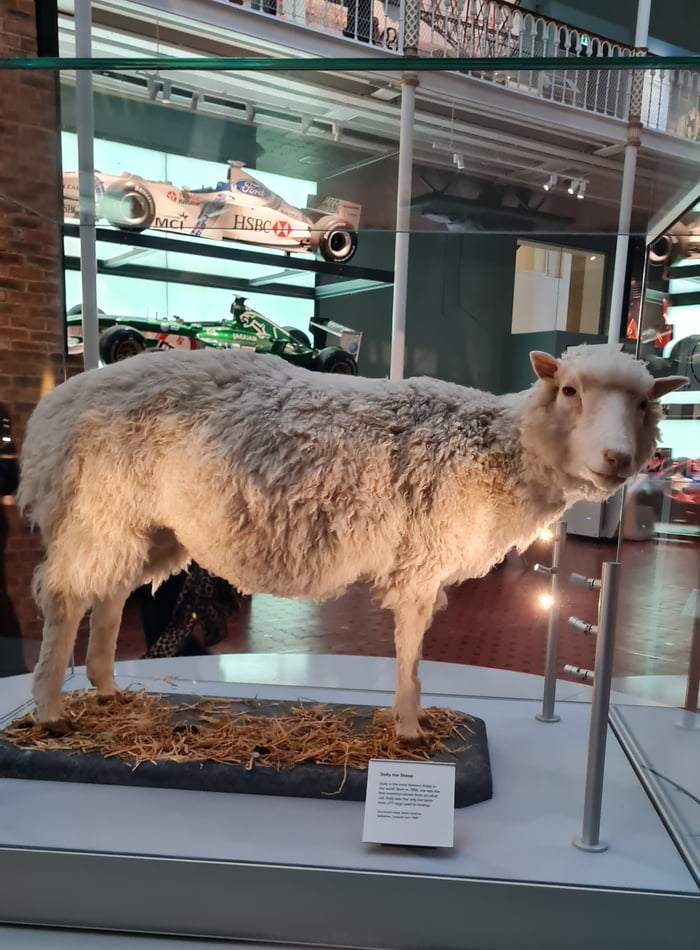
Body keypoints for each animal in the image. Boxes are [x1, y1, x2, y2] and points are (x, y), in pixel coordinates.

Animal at [19, 348, 688, 744]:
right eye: (570, 391)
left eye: (646, 403)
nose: (618, 459)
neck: (497, 448)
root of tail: (51, 408)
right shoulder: (422, 558)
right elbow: (412, 648)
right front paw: (411, 728)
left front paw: (408, 720)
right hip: (98, 509)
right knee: (64, 597)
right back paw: (50, 711)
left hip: (145, 524)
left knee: (108, 593)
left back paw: (106, 690)